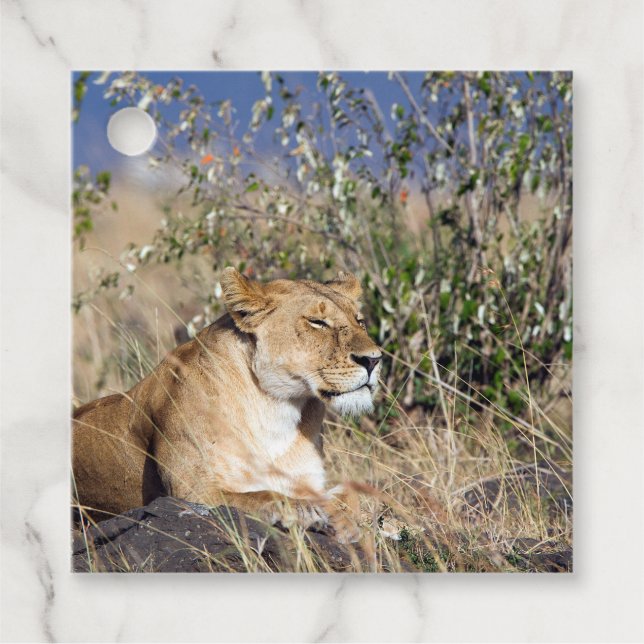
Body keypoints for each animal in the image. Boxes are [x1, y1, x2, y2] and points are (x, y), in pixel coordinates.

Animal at [72, 268, 382, 541]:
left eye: (360, 320)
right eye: (317, 322)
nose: (374, 360)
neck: (276, 408)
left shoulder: (309, 480)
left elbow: (356, 493)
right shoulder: (191, 494)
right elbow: (264, 495)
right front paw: (307, 512)